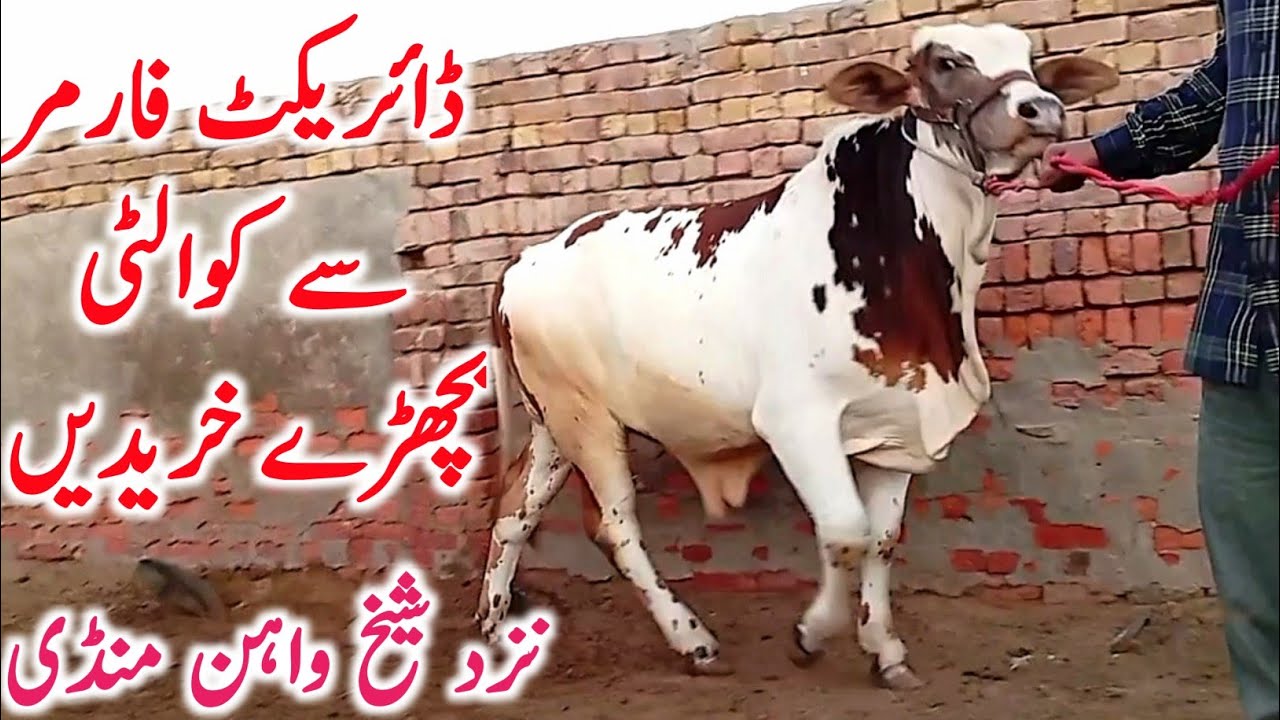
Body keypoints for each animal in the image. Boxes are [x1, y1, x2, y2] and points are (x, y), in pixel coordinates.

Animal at [473, 21, 1119, 689]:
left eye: (1031, 62)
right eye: (945, 62)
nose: (1040, 109)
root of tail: (525, 260)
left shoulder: (896, 423)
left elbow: (881, 539)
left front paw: (885, 651)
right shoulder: (797, 422)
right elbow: (845, 533)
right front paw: (811, 633)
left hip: (554, 423)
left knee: (514, 512)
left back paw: (494, 627)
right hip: (586, 420)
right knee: (616, 526)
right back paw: (691, 639)